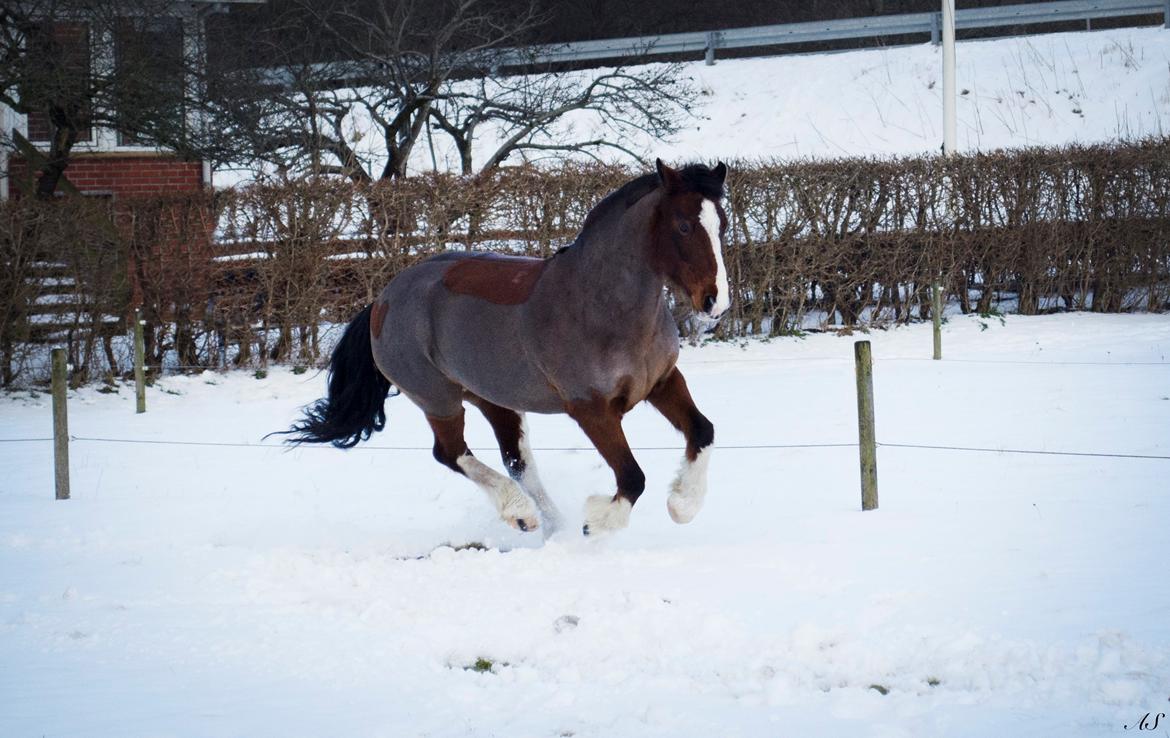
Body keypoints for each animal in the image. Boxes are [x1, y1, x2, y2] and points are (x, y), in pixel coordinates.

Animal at [278, 160, 725, 538]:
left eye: (721, 223)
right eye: (684, 227)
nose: (714, 302)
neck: (603, 304)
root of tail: (382, 299)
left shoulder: (661, 382)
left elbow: (703, 430)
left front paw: (682, 505)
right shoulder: (591, 409)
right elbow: (632, 475)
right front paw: (597, 523)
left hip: (495, 400)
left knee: (517, 463)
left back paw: (552, 527)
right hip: (438, 399)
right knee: (451, 453)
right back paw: (521, 513)